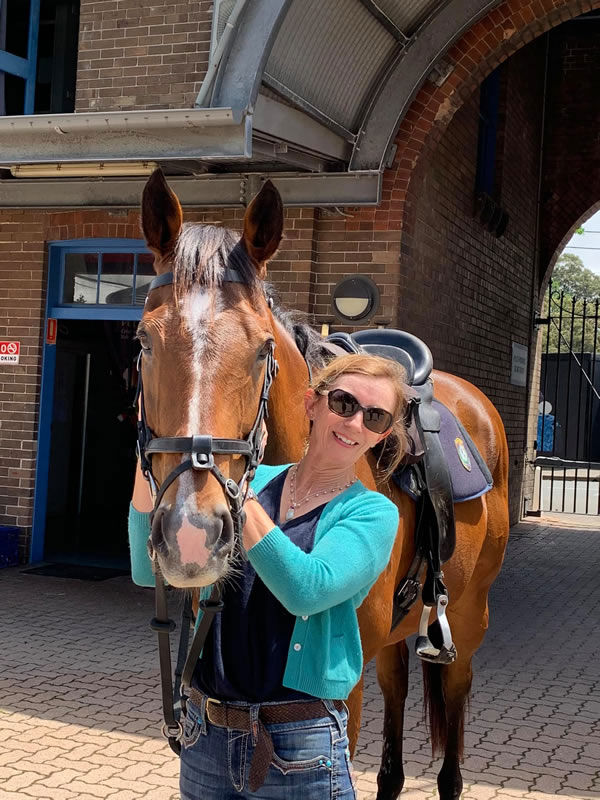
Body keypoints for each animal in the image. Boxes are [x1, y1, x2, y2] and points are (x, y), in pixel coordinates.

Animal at [138, 170, 508, 800]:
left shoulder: (345, 693)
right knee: (396, 695)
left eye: (262, 347)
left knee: (455, 707)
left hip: (469, 616)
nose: (192, 532)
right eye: (142, 341)